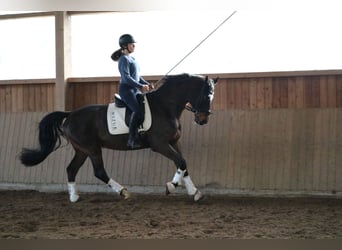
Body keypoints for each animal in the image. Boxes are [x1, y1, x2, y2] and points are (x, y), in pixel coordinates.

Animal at [19, 73, 216, 202]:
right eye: (207, 96)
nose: (203, 120)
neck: (165, 106)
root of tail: (70, 114)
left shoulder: (174, 141)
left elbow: (183, 164)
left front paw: (194, 192)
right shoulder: (160, 144)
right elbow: (180, 162)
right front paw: (171, 186)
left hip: (82, 150)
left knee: (71, 169)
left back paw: (74, 196)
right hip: (92, 148)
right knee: (99, 171)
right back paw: (123, 192)